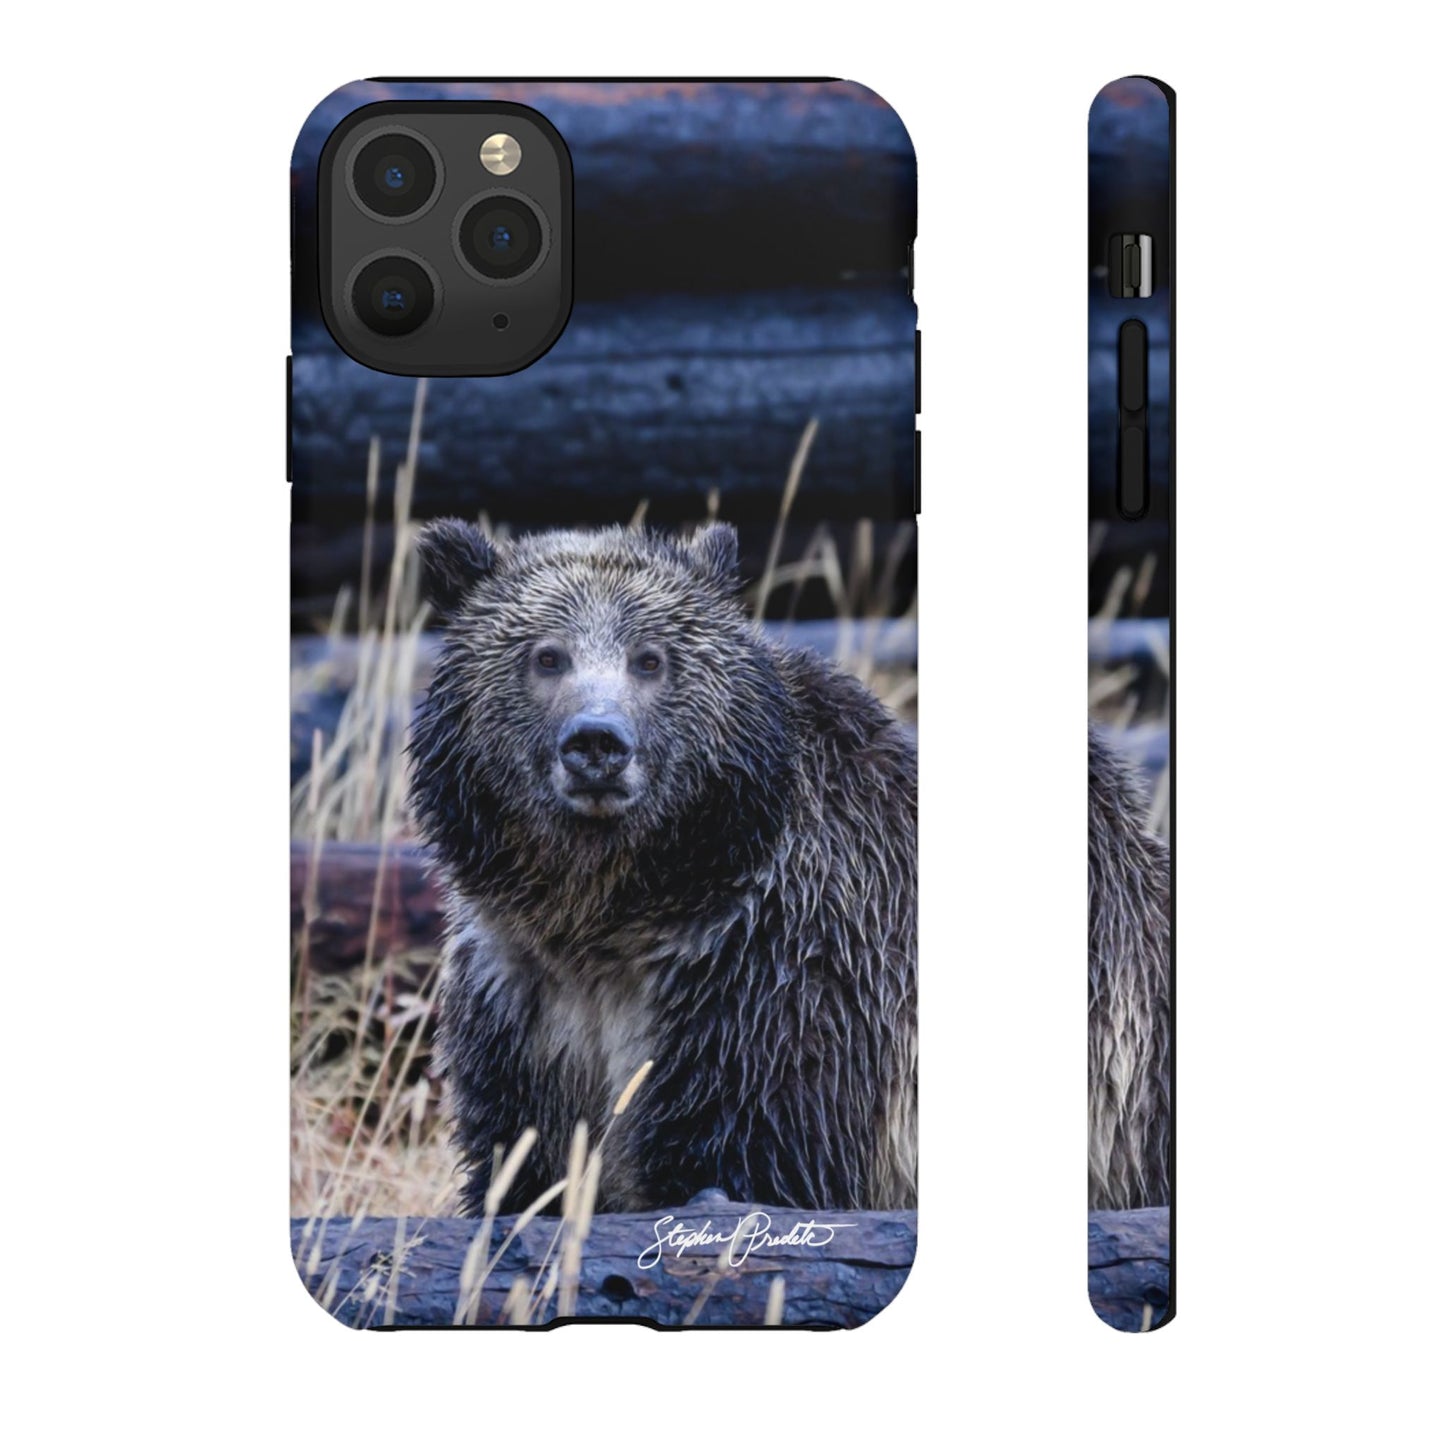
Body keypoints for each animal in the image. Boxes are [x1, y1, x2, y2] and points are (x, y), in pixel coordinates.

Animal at [408, 520, 918, 1217]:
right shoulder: (521, 1000)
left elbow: (753, 1152)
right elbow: (521, 1162)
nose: (597, 742)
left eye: (649, 658)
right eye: (547, 656)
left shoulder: (775, 978)